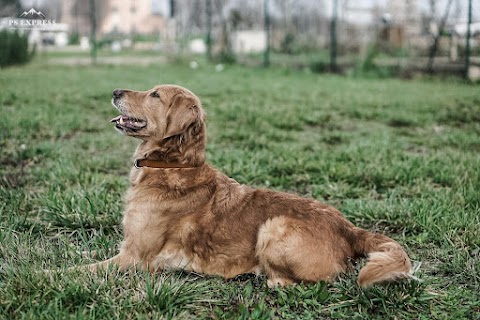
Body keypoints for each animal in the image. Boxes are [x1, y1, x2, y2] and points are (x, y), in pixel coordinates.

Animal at [85, 83, 408, 288]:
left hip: (273, 226)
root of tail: (350, 228)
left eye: (154, 94)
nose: (115, 91)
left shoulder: (135, 257)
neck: (174, 165)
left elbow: (82, 270)